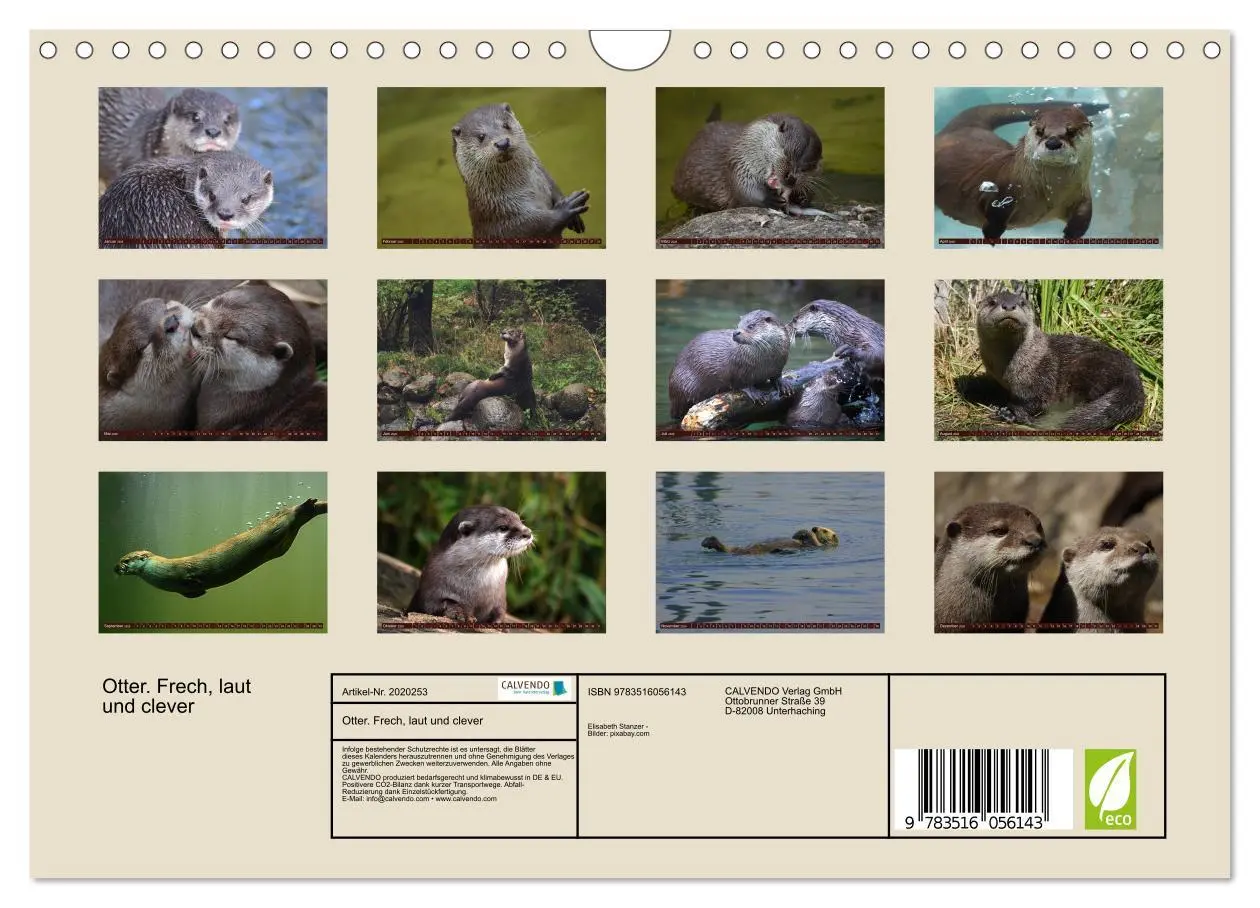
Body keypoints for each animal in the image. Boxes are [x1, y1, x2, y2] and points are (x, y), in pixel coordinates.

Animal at [114, 498, 327, 598]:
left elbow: (192, 576)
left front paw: (197, 581)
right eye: (120, 560)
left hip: (278, 524)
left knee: (290, 513)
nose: (115, 567)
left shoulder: (181, 571)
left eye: (126, 560)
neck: (160, 571)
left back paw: (307, 505)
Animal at [450, 102, 589, 247]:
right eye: (481, 136)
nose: (502, 143)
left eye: (506, 125)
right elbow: (537, 227)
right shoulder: (505, 216)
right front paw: (567, 208)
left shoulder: (544, 177)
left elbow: (554, 186)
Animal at [671, 111, 833, 217]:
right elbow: (744, 191)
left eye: (808, 167)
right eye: (786, 153)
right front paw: (770, 199)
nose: (791, 179)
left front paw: (801, 198)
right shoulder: (739, 164)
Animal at [934, 101, 1108, 242]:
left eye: (1071, 132)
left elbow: (1085, 213)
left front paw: (1072, 233)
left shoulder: (1082, 193)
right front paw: (992, 233)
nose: (1052, 142)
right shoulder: (1001, 188)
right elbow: (995, 210)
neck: (1050, 195)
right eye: (1040, 131)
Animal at [972, 290, 1145, 431]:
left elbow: (1036, 401)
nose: (1009, 306)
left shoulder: (1041, 376)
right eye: (992, 302)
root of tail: (1132, 378)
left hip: (1089, 368)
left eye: (1021, 302)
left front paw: (1008, 412)